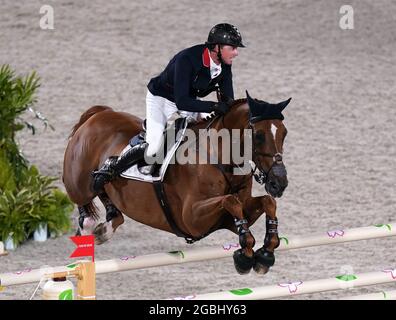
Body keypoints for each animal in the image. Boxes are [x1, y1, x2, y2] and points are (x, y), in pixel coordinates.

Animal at [62, 92, 290, 276]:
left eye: (284, 133)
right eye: (259, 136)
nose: (279, 183)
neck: (220, 158)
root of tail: (98, 114)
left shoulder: (228, 219)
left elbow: (267, 202)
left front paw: (266, 253)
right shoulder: (192, 220)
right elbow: (230, 201)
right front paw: (245, 257)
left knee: (110, 206)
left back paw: (104, 229)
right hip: (79, 183)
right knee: (82, 198)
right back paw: (88, 228)